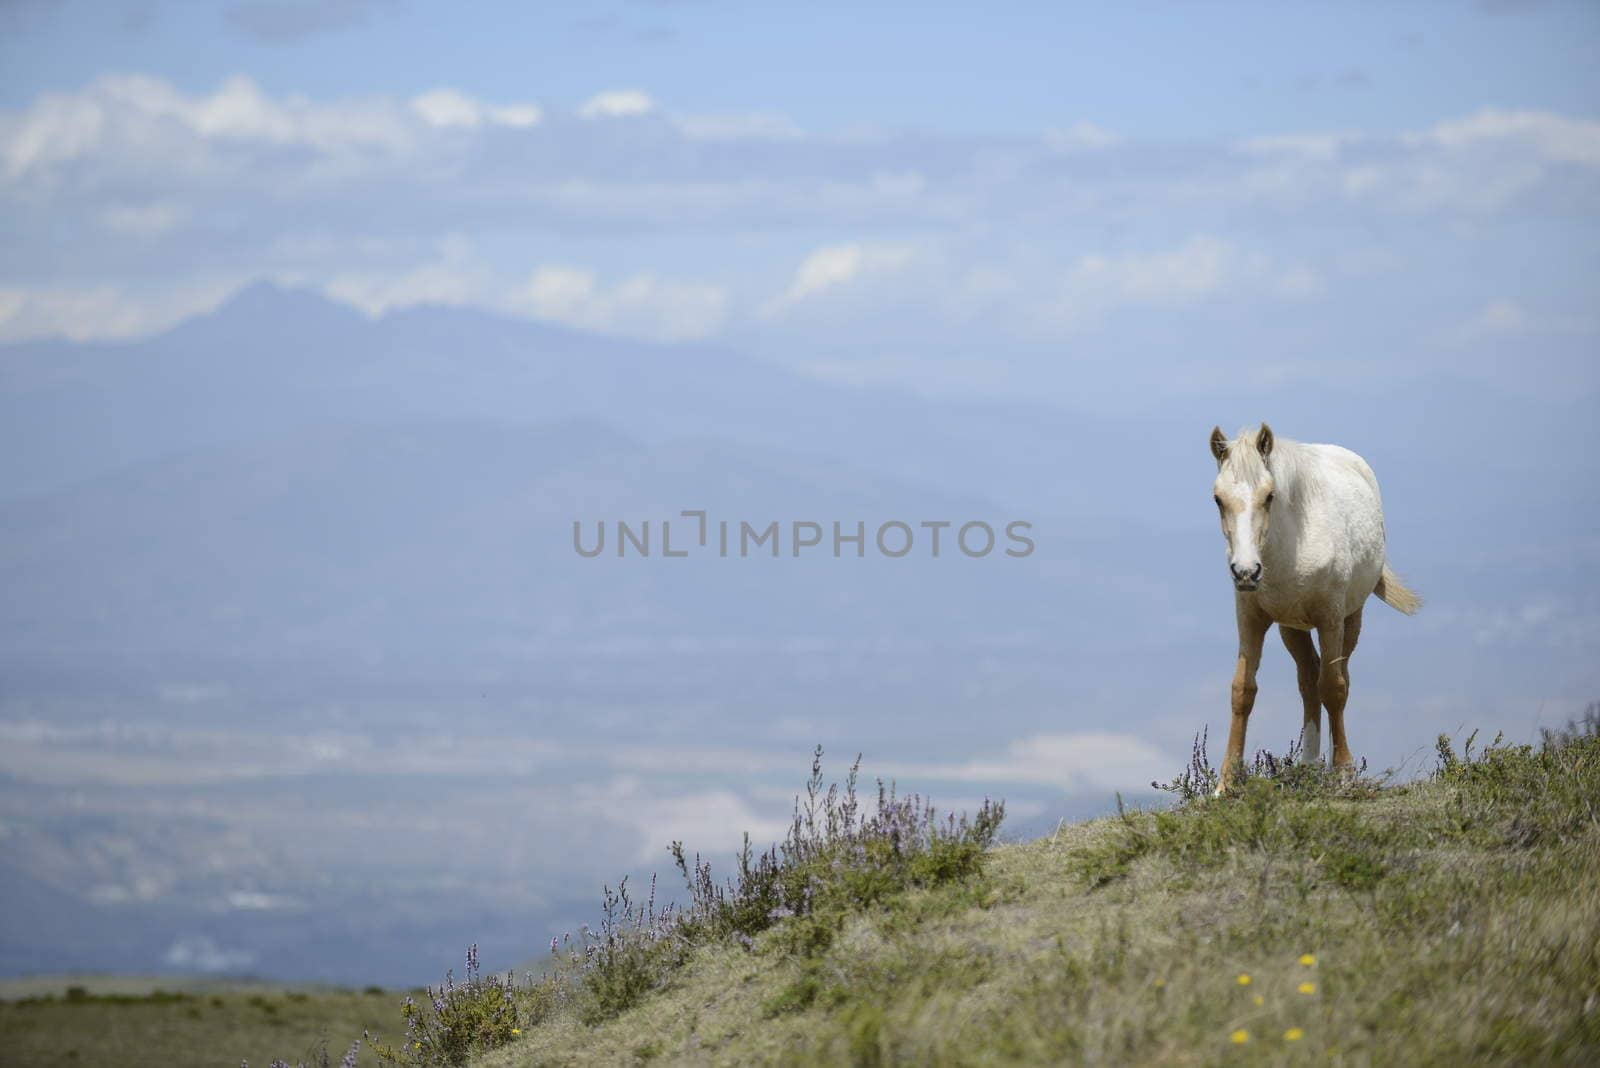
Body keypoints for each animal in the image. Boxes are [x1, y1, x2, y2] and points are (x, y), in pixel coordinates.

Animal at [1203, 425, 1420, 793]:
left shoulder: (1330, 618)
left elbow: (1333, 688)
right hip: (1292, 628)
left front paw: (1344, 772)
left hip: (1350, 619)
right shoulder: (1251, 618)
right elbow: (1243, 691)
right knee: (1308, 682)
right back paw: (1306, 766)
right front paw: (1225, 784)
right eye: (1218, 498)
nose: (1246, 571)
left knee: (1336, 680)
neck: (1292, 547)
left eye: (1269, 496)